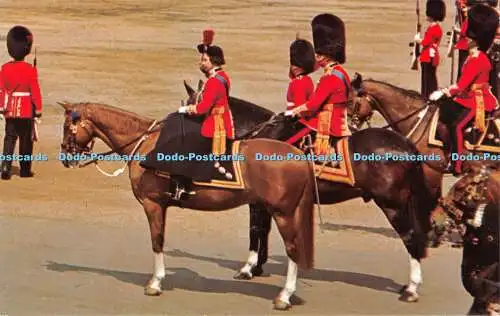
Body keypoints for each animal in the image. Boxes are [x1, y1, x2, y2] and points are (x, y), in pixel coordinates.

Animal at [58, 102, 316, 312]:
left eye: (67, 126)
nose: (65, 157)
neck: (146, 143)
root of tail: (298, 155)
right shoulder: (161, 205)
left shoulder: (153, 204)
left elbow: (157, 241)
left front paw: (155, 282)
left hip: (283, 214)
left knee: (293, 250)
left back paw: (284, 296)